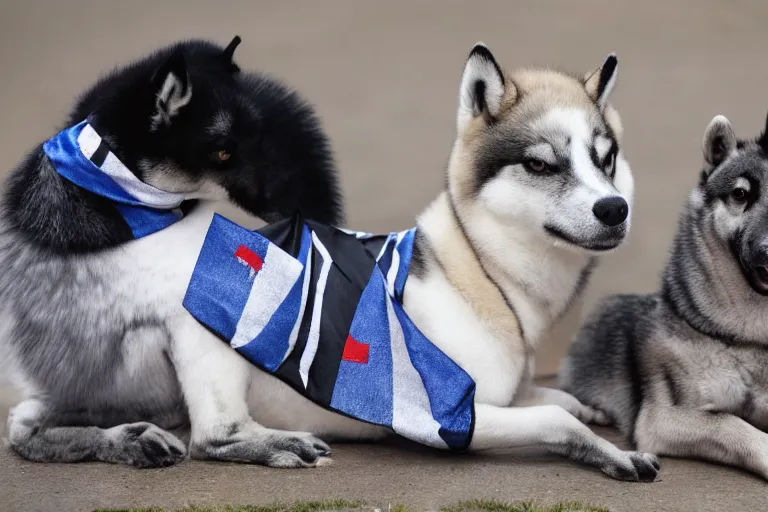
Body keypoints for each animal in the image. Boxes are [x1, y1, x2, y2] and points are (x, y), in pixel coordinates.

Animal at [3, 38, 656, 482]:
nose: (614, 209)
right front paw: (618, 454)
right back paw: (267, 443)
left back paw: (126, 438)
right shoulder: (452, 416)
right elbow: (560, 420)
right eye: (541, 164)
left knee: (27, 424)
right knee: (211, 436)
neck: (479, 275)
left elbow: (563, 401)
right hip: (210, 311)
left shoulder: (508, 395)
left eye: (605, 158)